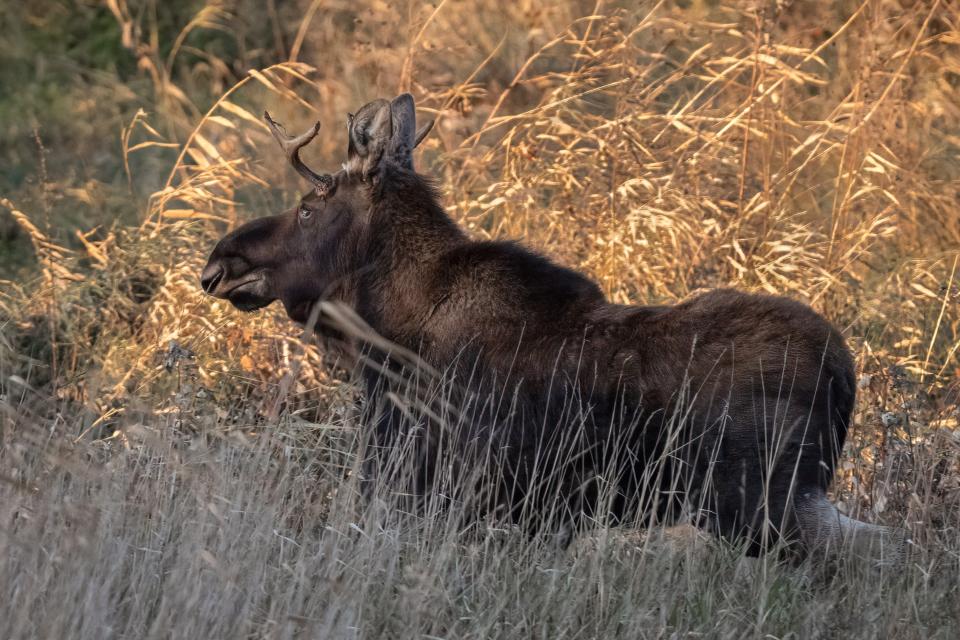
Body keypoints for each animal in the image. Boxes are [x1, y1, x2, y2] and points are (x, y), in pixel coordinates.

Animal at [201, 94, 900, 560]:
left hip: (769, 503)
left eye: (309, 207)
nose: (219, 261)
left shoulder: (438, 484)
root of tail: (845, 371)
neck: (386, 332)